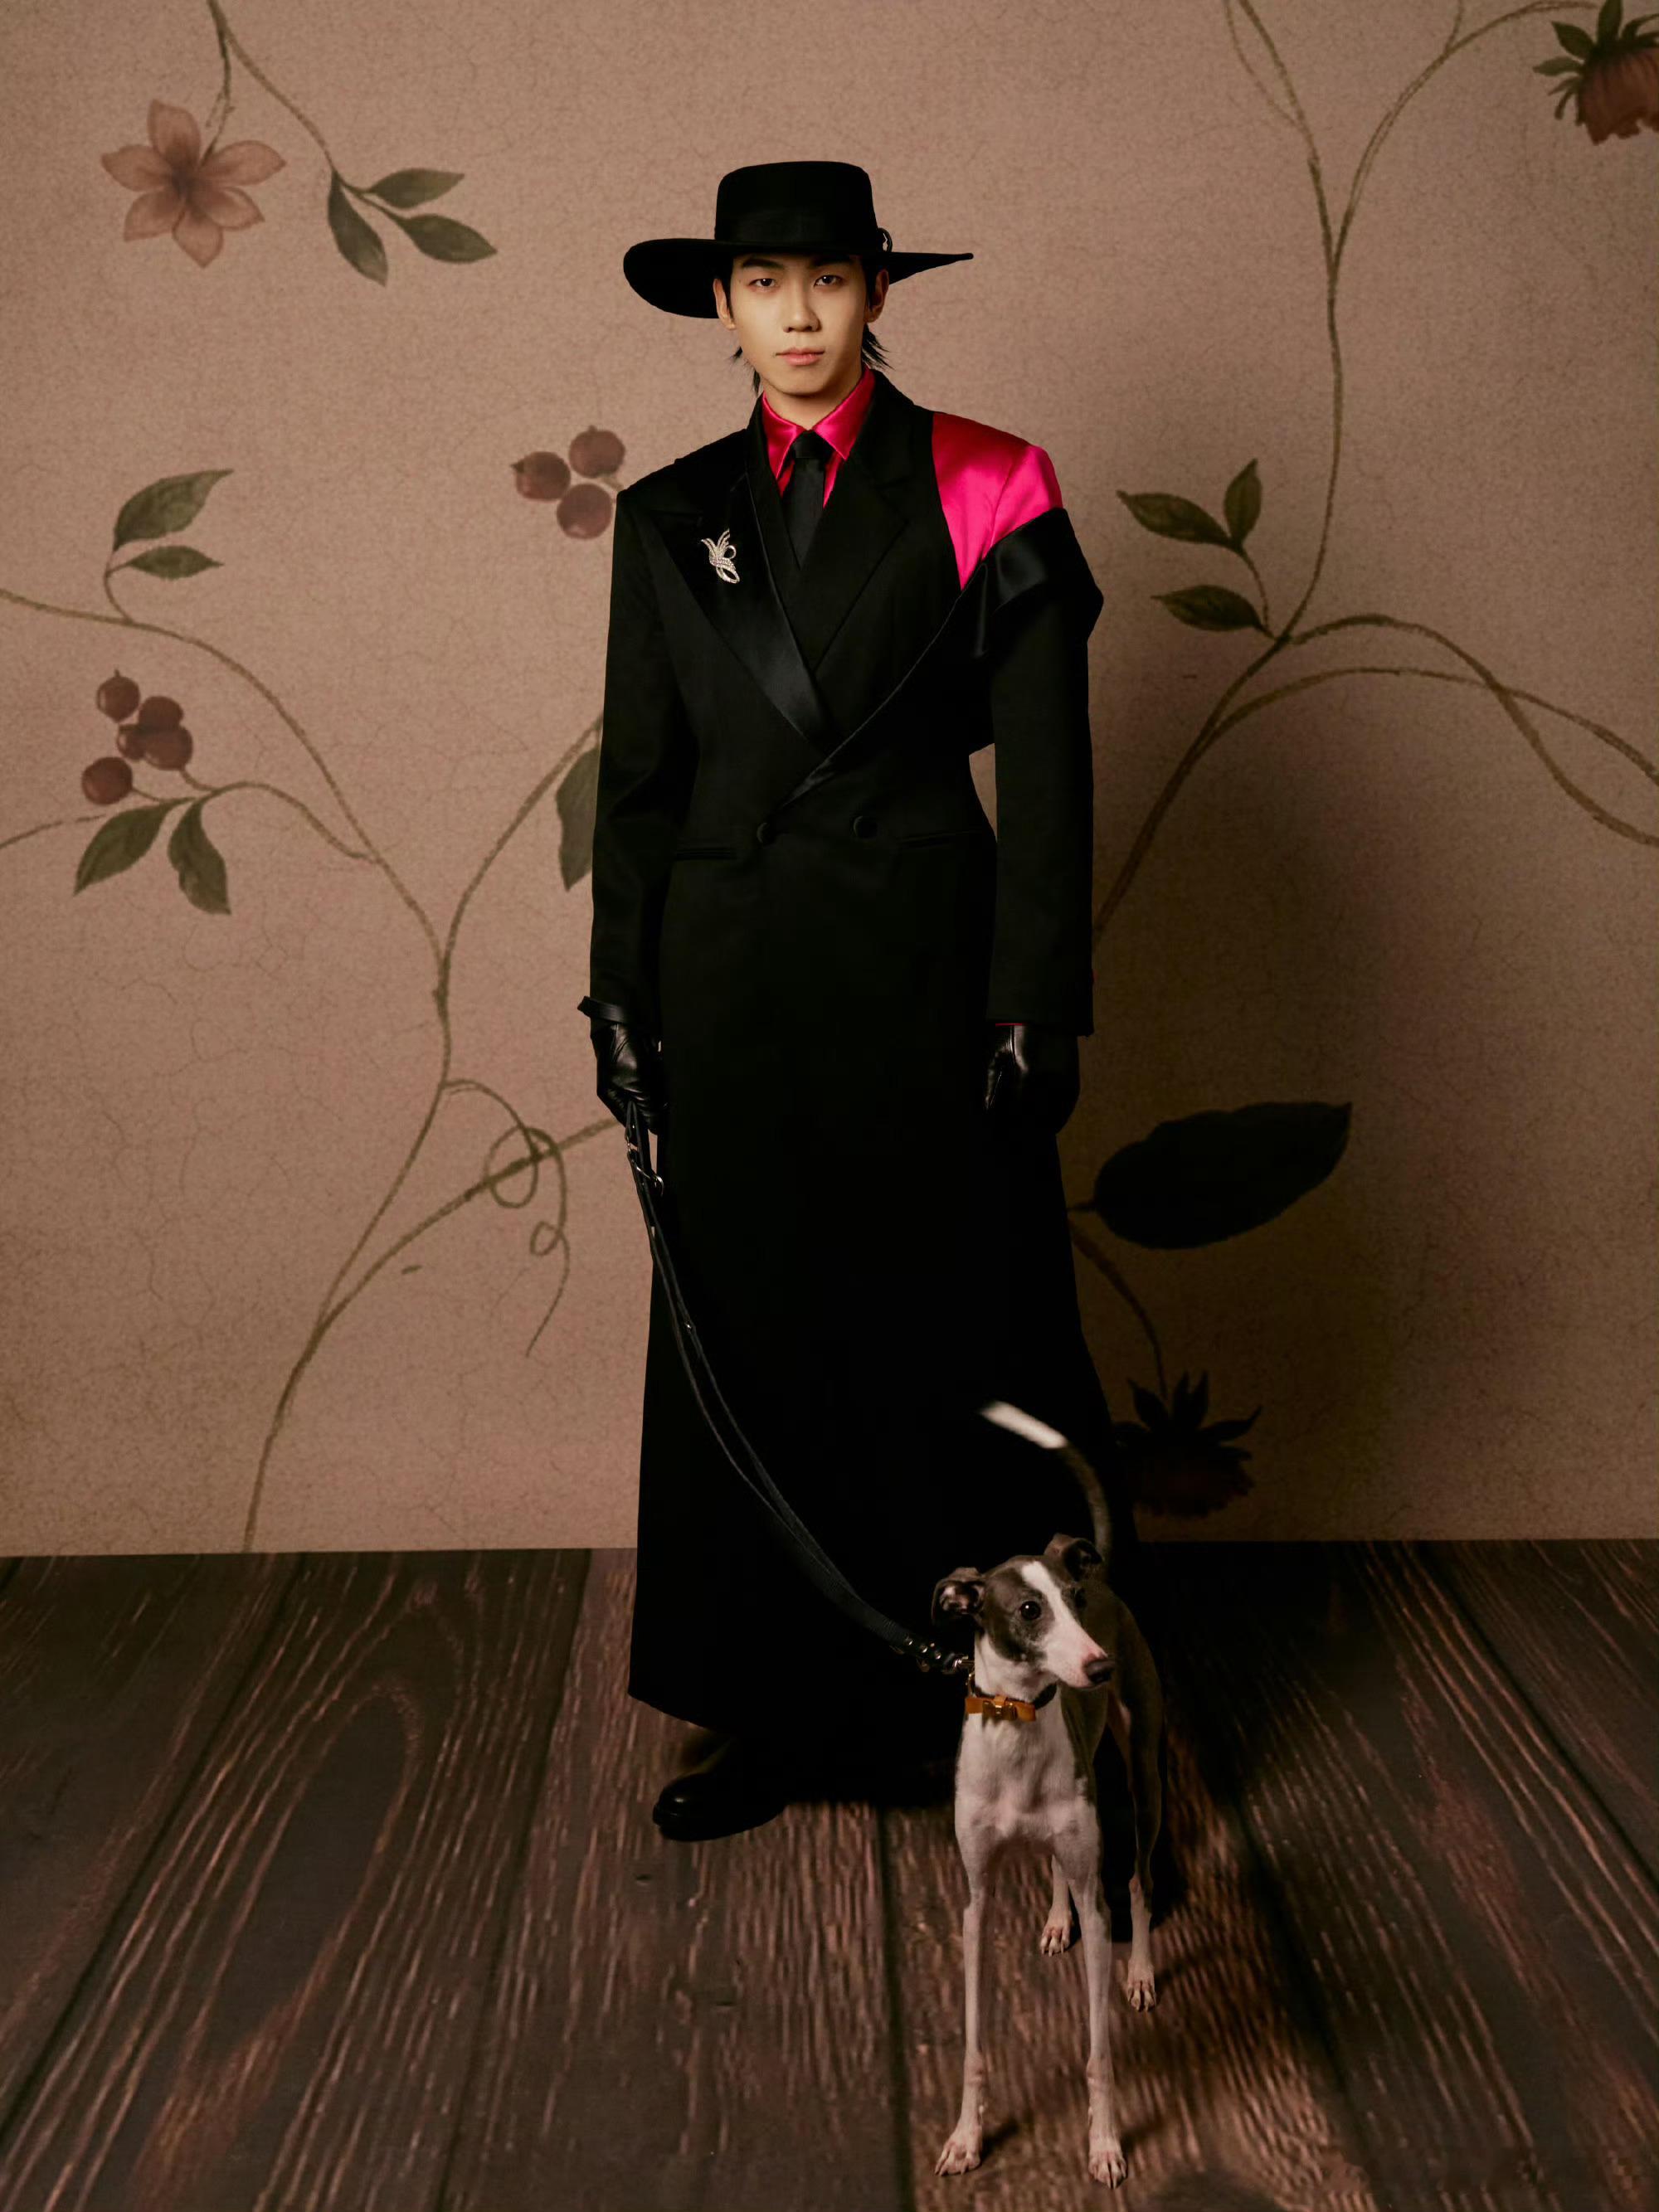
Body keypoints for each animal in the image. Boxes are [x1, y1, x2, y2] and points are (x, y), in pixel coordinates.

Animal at [930, 1398, 1164, 2188]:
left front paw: (1105, 2143)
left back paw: (1141, 1968)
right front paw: (966, 2137)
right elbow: (973, 2042)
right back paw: (1058, 1919)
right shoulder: (975, 1901)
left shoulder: (1097, 1890)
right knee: (1059, 1866)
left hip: (1143, 1775)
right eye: (1030, 1610)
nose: (1099, 1666)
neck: (1021, 1723)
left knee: (1136, 1879)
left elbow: (1098, 2051)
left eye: (1073, 1601)